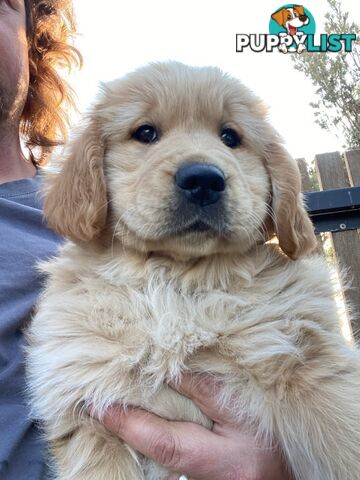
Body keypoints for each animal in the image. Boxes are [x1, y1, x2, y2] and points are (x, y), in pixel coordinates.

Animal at [26, 62, 360, 480]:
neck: (175, 278)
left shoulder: (310, 361)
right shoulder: (90, 413)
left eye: (231, 137)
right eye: (145, 133)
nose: (203, 179)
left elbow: (345, 439)